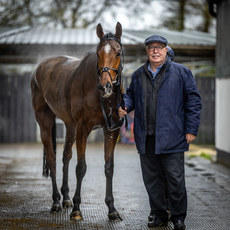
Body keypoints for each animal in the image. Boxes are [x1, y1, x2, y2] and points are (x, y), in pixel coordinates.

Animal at [31, 22, 124, 221]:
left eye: (118, 52)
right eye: (98, 53)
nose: (105, 86)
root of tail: (40, 68)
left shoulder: (111, 131)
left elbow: (109, 167)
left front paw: (112, 209)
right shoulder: (83, 128)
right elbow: (81, 167)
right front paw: (77, 209)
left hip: (70, 126)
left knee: (66, 156)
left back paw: (65, 198)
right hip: (45, 121)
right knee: (52, 159)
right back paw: (56, 202)